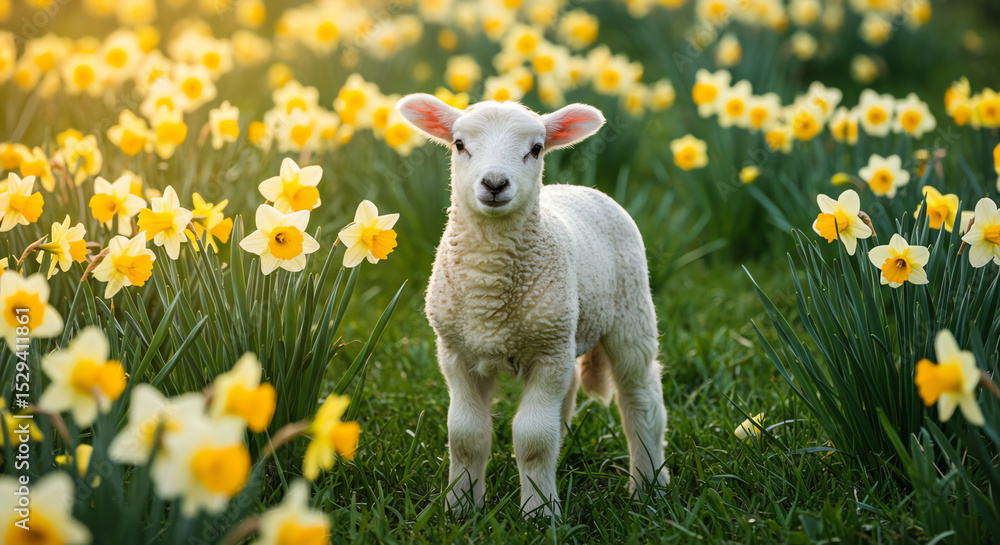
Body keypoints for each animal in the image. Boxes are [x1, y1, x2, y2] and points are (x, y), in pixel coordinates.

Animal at [396, 94, 668, 518]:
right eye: (459, 144)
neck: (488, 287)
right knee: (571, 393)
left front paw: (539, 513)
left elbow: (533, 438)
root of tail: (577, 187)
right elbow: (466, 435)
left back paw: (648, 488)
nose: (494, 183)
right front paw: (460, 508)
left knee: (641, 398)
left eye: (536, 149)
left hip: (630, 309)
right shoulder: (457, 352)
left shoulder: (548, 354)